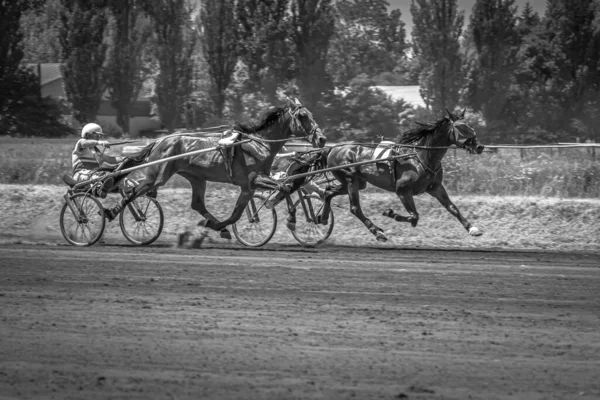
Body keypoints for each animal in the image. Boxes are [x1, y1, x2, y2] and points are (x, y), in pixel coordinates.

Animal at [105, 97, 326, 241]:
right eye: (303, 116)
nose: (322, 139)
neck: (260, 144)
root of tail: (160, 141)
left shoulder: (248, 187)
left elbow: (238, 213)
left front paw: (219, 226)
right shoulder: (253, 179)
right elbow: (284, 187)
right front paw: (291, 218)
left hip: (196, 178)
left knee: (197, 203)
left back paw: (214, 224)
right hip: (158, 175)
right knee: (134, 191)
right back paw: (111, 212)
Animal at [318, 108, 482, 242]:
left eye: (470, 125)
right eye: (461, 127)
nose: (479, 146)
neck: (420, 156)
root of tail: (333, 149)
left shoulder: (435, 187)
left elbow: (452, 208)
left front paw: (472, 228)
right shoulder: (402, 190)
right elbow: (414, 216)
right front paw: (390, 213)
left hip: (358, 182)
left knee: (328, 192)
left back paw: (323, 217)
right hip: (350, 178)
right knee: (355, 208)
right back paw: (377, 232)